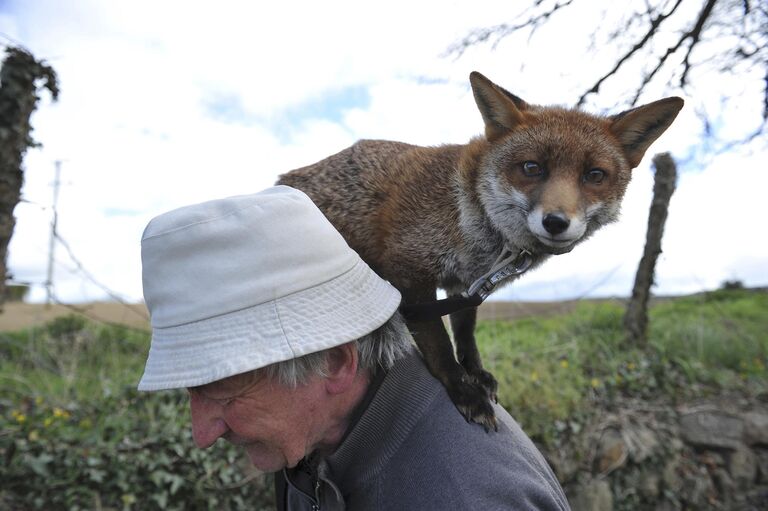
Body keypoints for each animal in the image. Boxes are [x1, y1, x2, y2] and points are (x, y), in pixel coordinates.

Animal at [278, 72, 684, 430]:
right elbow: (439, 343)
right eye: (532, 168)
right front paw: (462, 389)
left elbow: (466, 333)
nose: (556, 222)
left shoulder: (466, 283)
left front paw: (475, 373)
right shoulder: (409, 268)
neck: (471, 212)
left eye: (594, 175)